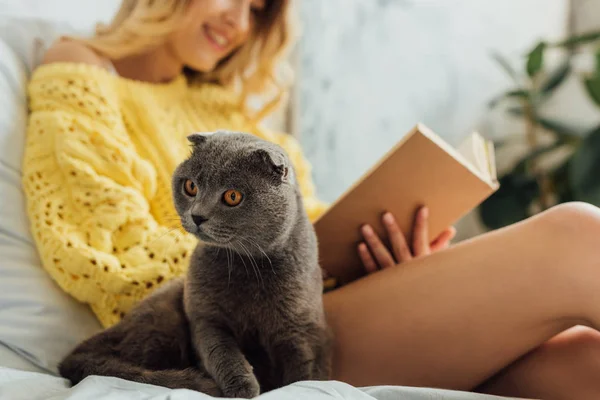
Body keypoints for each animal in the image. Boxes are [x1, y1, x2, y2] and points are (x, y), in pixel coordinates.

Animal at [59, 131, 332, 396]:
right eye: (191, 186)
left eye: (233, 196)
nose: (197, 215)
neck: (247, 264)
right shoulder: (205, 318)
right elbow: (221, 353)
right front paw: (243, 389)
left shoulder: (302, 331)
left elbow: (305, 370)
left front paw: (299, 386)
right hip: (164, 317)